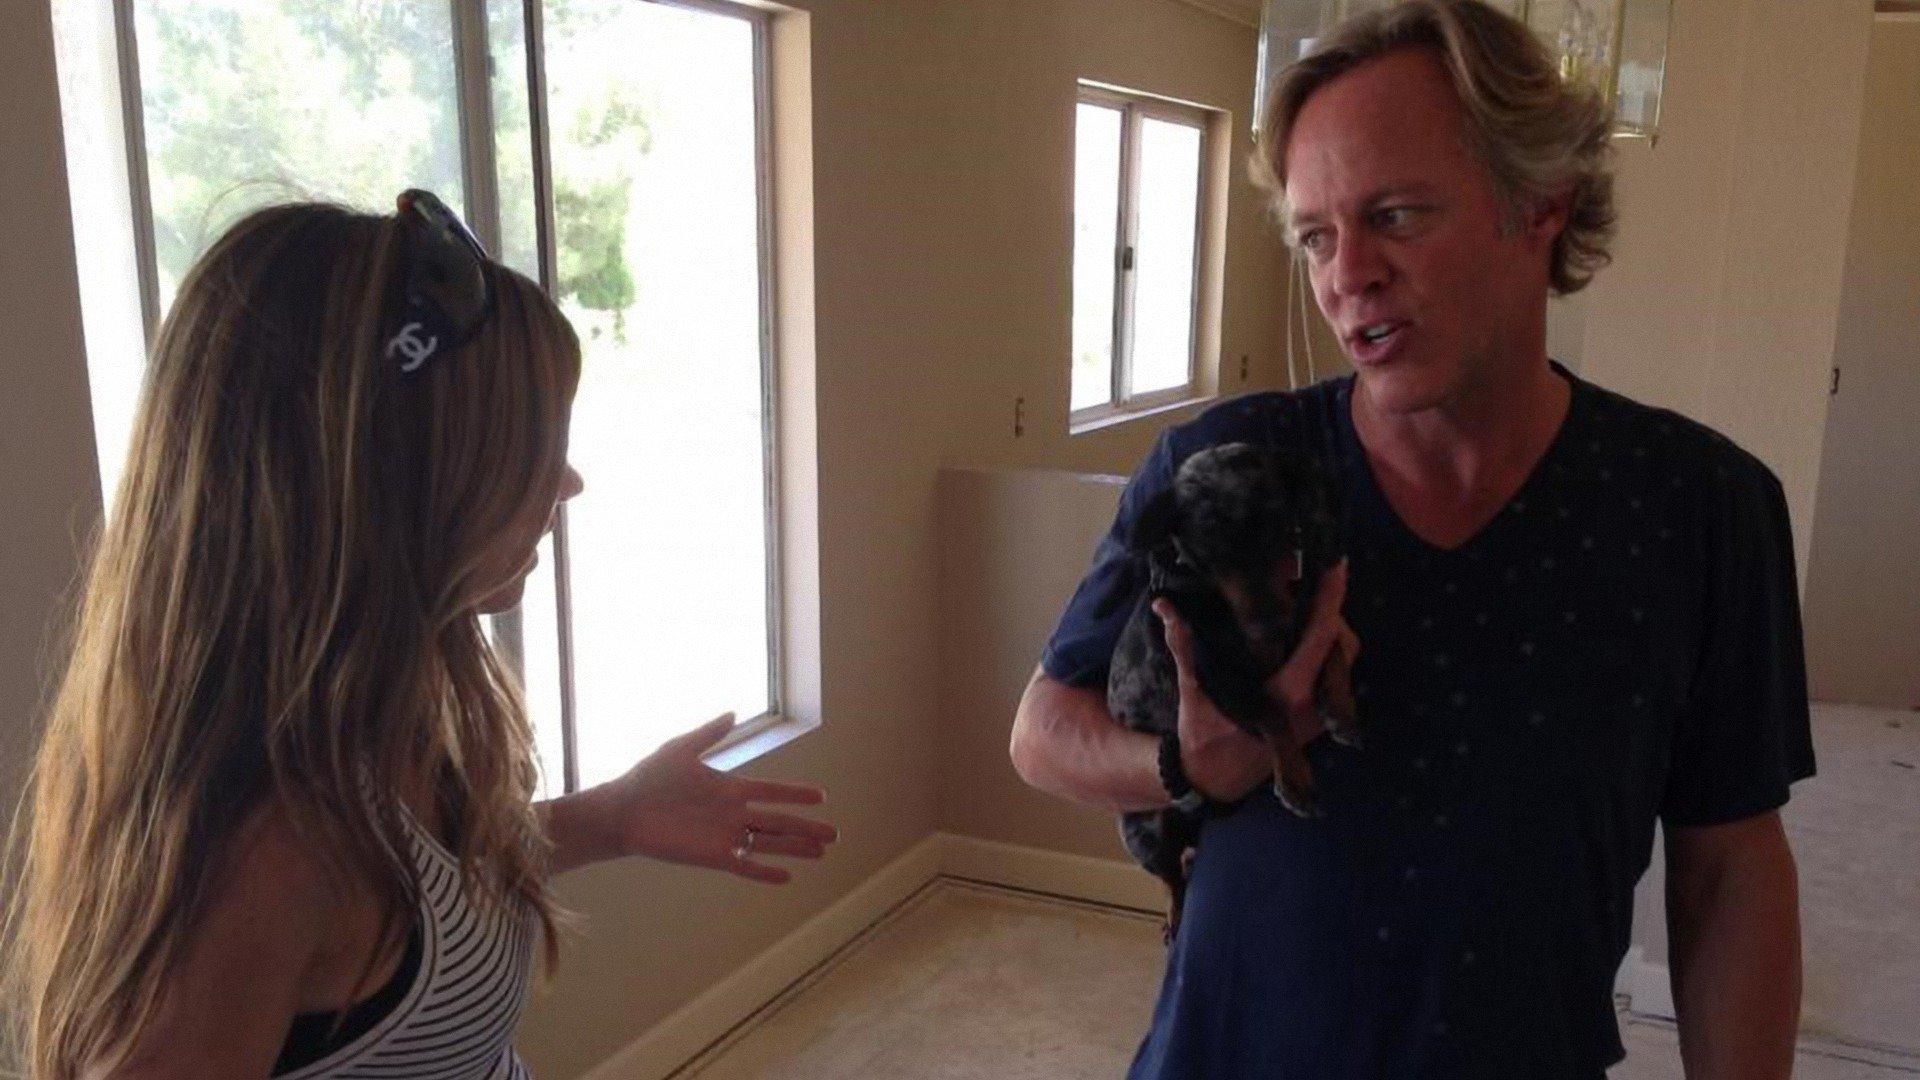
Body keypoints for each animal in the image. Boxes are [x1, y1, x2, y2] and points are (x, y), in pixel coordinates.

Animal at [1098, 441, 1357, 936]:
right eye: (1208, 547)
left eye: (1279, 525)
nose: (1268, 623)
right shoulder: (1220, 683)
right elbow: (1273, 711)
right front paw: (1295, 779)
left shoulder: (1300, 633)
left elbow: (1331, 648)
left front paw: (1340, 705)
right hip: (1146, 838)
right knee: (1173, 878)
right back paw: (1174, 915)